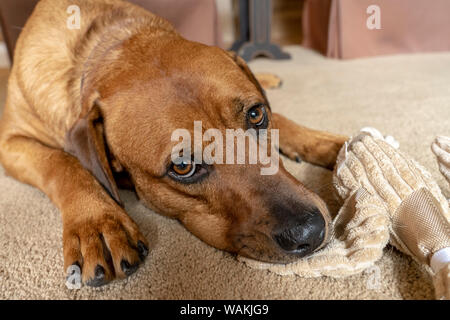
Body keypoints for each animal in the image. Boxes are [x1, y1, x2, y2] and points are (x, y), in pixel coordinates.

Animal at [0, 0, 348, 286]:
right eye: (183, 167)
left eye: (256, 114)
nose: (310, 232)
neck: (107, 44)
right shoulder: (10, 143)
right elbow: (61, 162)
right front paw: (96, 222)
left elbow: (284, 120)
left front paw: (329, 143)